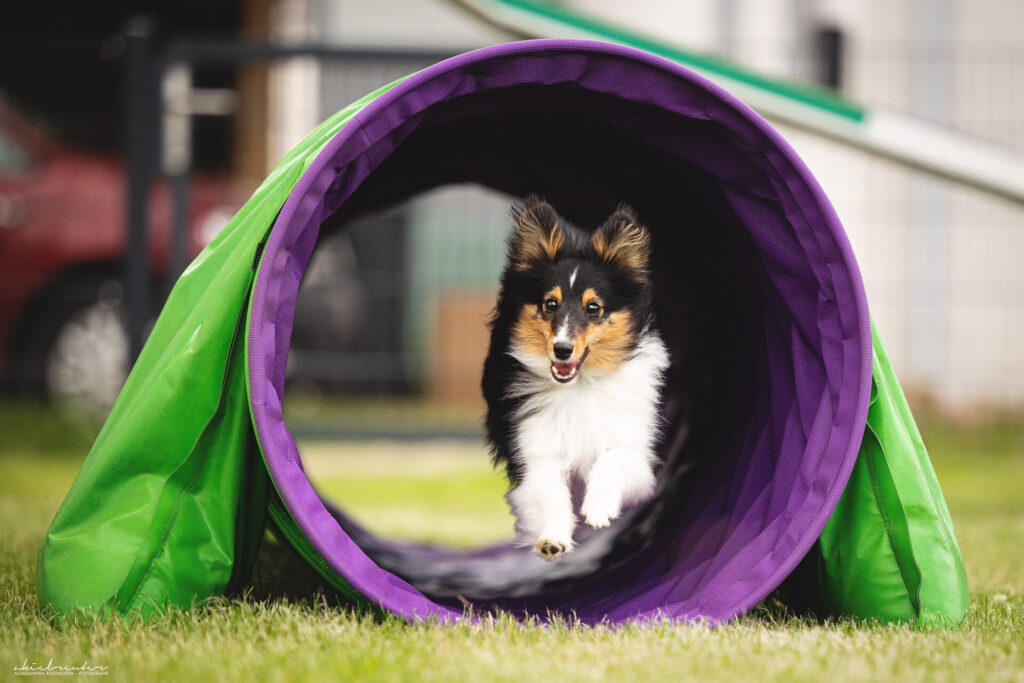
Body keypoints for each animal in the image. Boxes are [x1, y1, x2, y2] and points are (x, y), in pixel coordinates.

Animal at [481, 196, 667, 561]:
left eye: (594, 308)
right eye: (550, 304)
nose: (562, 350)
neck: (579, 385)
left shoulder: (634, 454)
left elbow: (610, 460)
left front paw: (598, 509)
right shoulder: (537, 452)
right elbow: (552, 496)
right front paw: (553, 539)